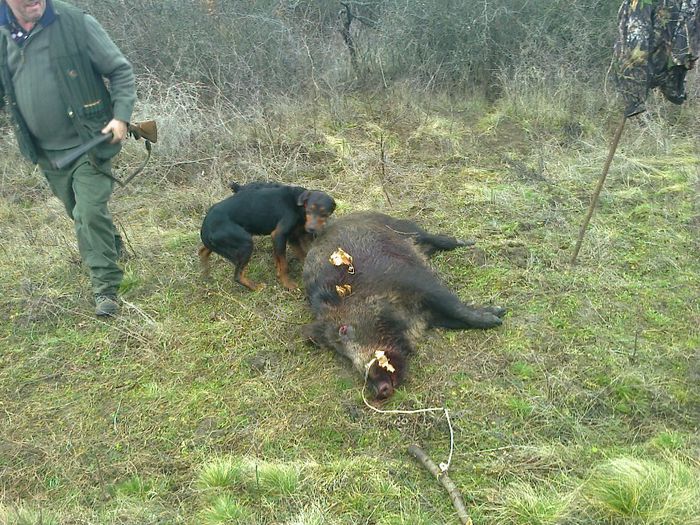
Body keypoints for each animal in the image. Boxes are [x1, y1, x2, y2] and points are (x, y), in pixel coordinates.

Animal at [198, 181, 338, 290]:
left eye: (324, 213)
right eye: (309, 209)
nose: (311, 228)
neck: (297, 203)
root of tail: (205, 228)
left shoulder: (293, 237)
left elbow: (302, 255)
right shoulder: (279, 235)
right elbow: (284, 264)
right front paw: (287, 284)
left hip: (219, 244)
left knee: (202, 251)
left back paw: (206, 273)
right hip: (245, 244)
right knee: (238, 275)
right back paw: (256, 287)